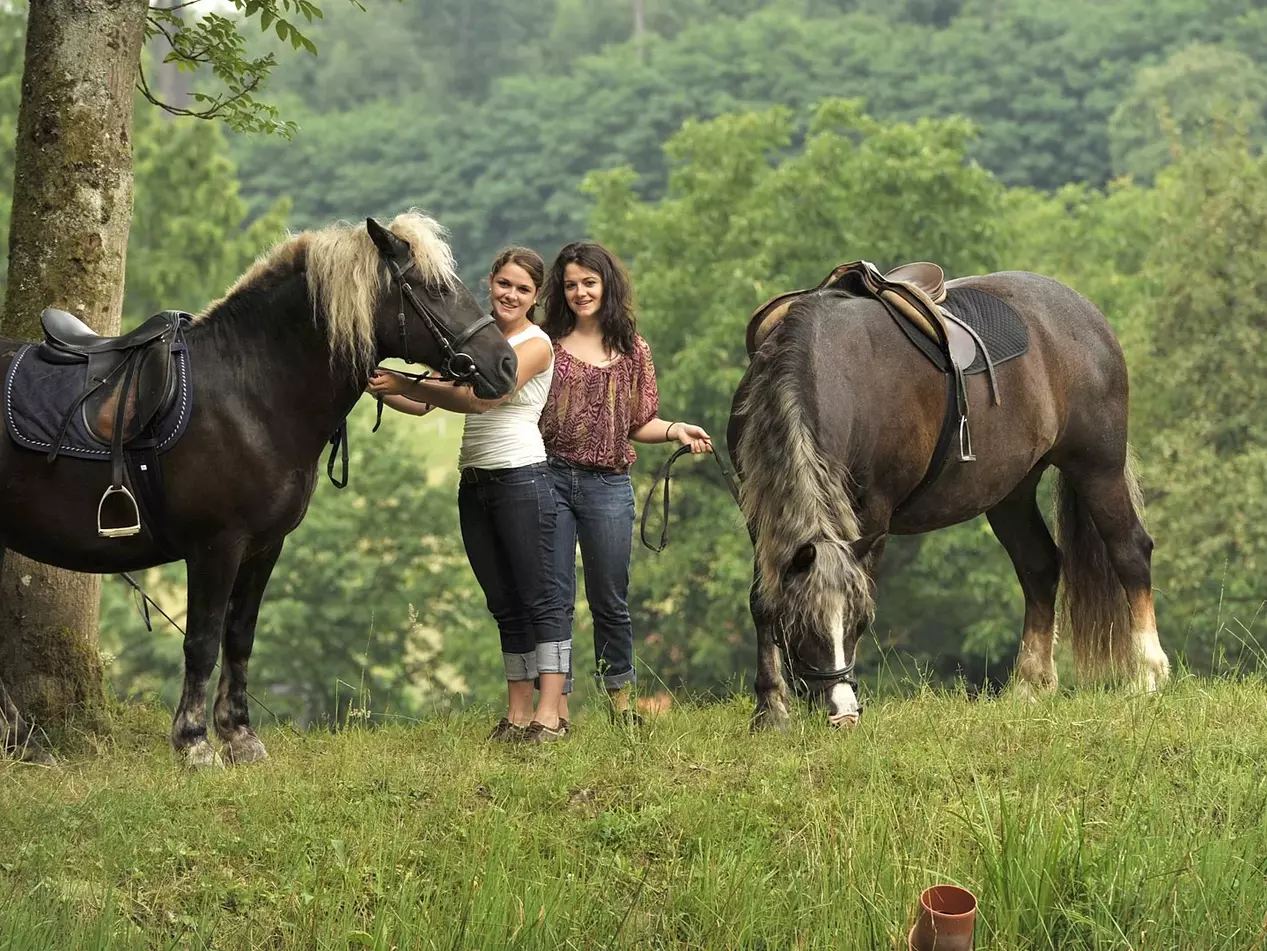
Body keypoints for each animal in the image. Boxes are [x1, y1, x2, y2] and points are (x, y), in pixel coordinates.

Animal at [0, 211, 516, 764]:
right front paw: (193, 743)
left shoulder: (264, 546)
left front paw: (239, 736)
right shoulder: (215, 547)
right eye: (433, 288)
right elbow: (202, 642)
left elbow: (240, 637)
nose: (506, 364)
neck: (249, 393)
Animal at [729, 270, 1170, 734]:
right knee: (1039, 566)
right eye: (798, 624)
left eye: (857, 619)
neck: (829, 364)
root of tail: (1084, 312)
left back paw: (1148, 674)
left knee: (1130, 550)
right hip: (1011, 490)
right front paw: (770, 710)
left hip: (1097, 467)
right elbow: (762, 601)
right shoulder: (760, 512)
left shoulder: (873, 513)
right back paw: (1030, 686)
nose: (844, 712)